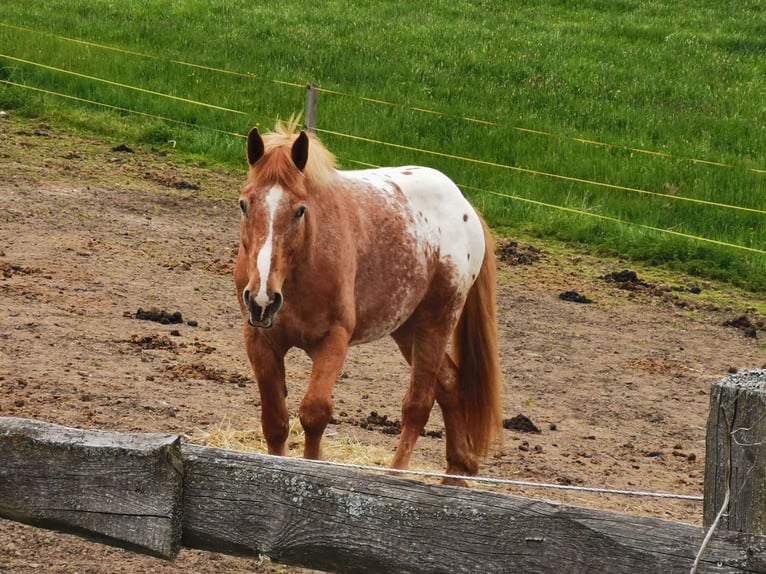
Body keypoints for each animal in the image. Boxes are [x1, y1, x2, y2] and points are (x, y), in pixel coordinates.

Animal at [237, 121, 508, 486]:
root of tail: (465, 206)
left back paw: (397, 476)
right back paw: (456, 472)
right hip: (407, 329)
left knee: (419, 404)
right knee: (449, 384)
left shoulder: (333, 341)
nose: (262, 299)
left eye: (299, 210)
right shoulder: (260, 340)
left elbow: (314, 413)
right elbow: (275, 422)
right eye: (244, 204)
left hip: (437, 321)